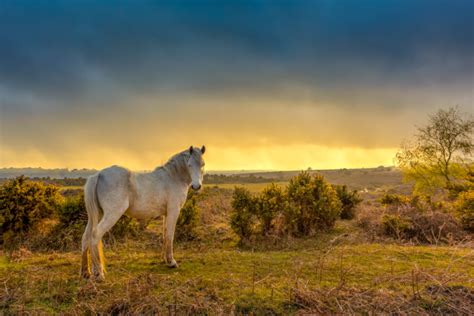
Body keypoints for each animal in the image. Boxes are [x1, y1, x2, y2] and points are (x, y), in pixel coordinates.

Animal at [80, 144, 206, 280]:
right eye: (189, 165)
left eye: (202, 164)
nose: (197, 186)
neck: (173, 177)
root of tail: (98, 175)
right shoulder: (174, 211)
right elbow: (170, 235)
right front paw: (172, 262)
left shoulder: (166, 214)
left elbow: (164, 234)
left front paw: (165, 260)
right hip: (111, 214)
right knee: (95, 235)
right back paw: (99, 273)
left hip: (96, 215)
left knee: (86, 237)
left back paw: (85, 272)